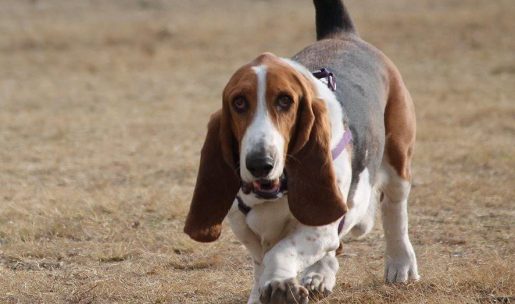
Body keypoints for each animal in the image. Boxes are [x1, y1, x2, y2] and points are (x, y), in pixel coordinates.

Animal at [184, 1, 420, 302]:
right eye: (239, 102)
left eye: (285, 100)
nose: (259, 163)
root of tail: (343, 33)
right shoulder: (245, 228)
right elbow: (262, 260)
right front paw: (265, 290)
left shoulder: (318, 227)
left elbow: (280, 252)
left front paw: (278, 284)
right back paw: (320, 275)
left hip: (398, 159)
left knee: (394, 209)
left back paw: (401, 264)